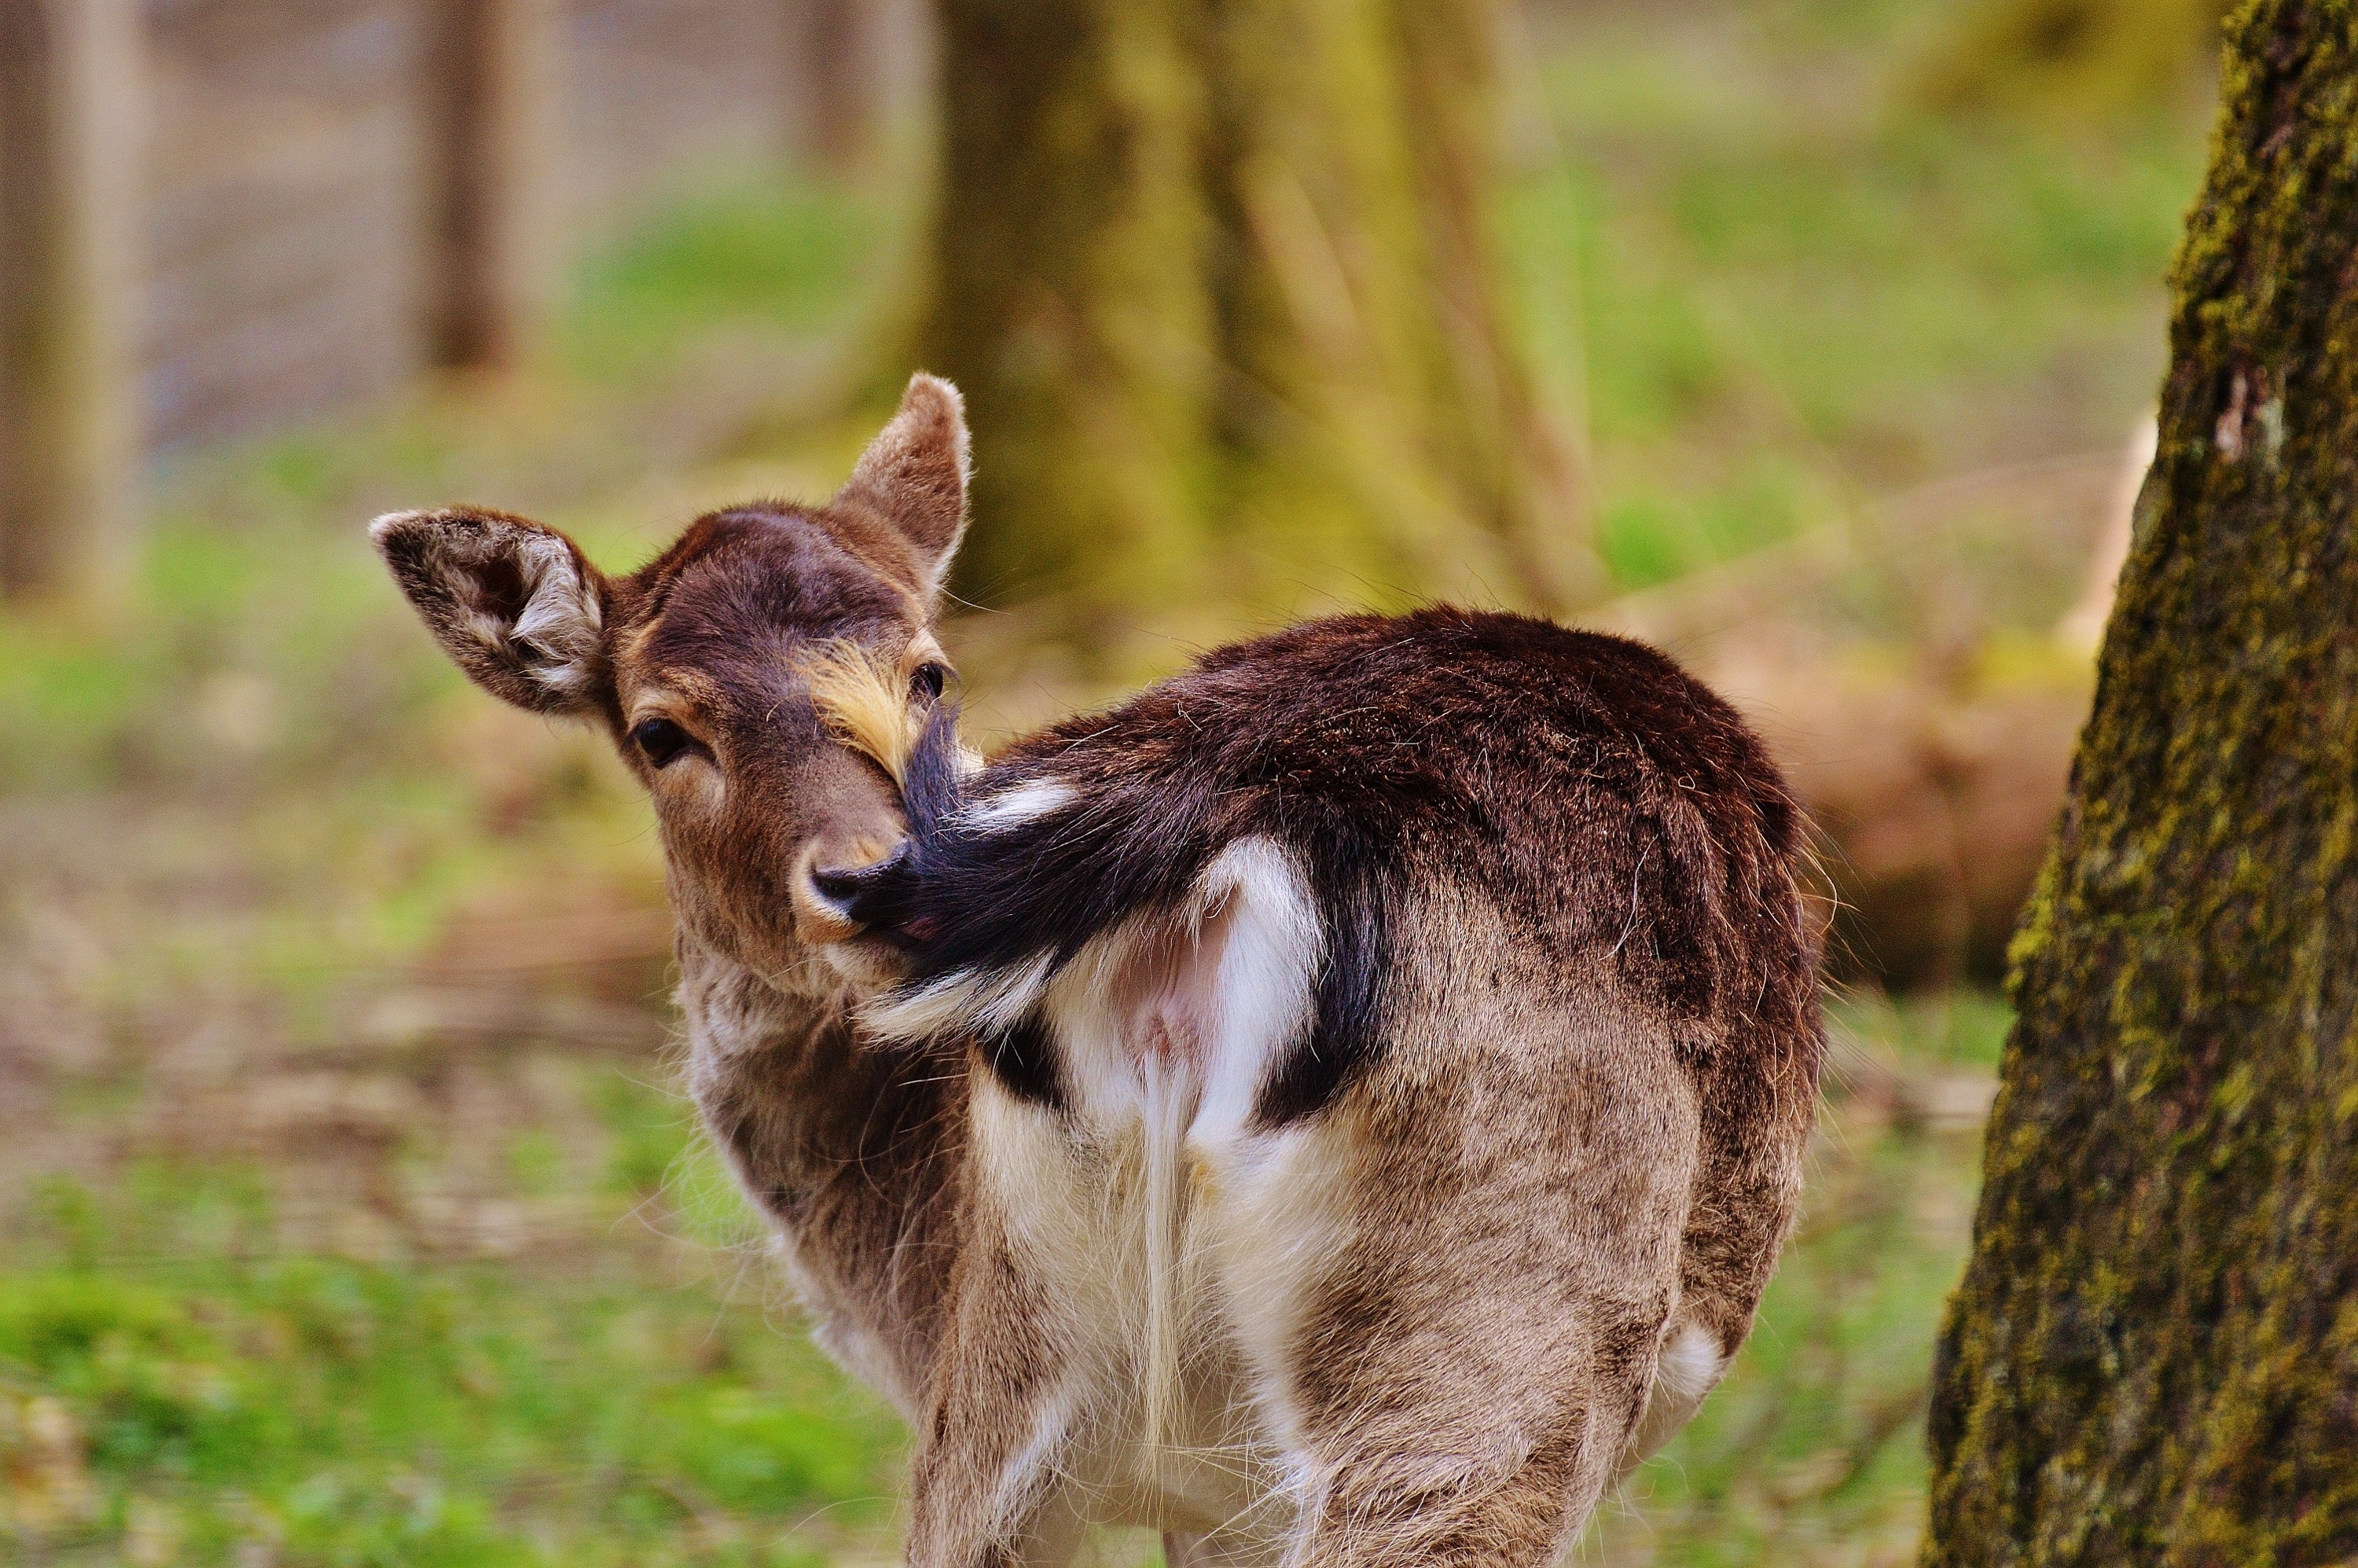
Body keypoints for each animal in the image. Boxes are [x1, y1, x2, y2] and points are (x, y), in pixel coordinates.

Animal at [373, 377, 1820, 1566]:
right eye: (662, 729)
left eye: (929, 671)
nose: (865, 872)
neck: (890, 1254)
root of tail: (1214, 794)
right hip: (1486, 1331)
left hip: (1033, 1377)